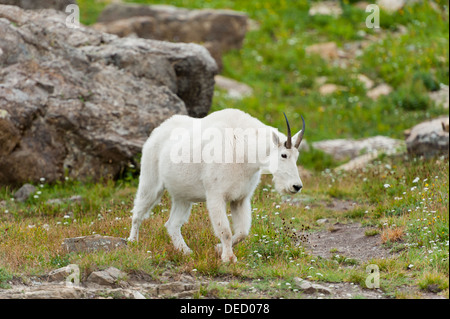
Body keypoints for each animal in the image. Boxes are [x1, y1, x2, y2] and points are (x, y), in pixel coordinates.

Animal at [128, 109, 308, 264]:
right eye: (283, 155)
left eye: (297, 156)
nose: (296, 186)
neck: (243, 150)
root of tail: (158, 130)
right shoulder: (216, 196)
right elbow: (225, 231)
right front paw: (228, 258)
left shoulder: (240, 199)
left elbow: (242, 232)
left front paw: (217, 248)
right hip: (151, 182)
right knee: (138, 212)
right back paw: (132, 242)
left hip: (183, 196)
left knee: (172, 224)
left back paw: (185, 251)